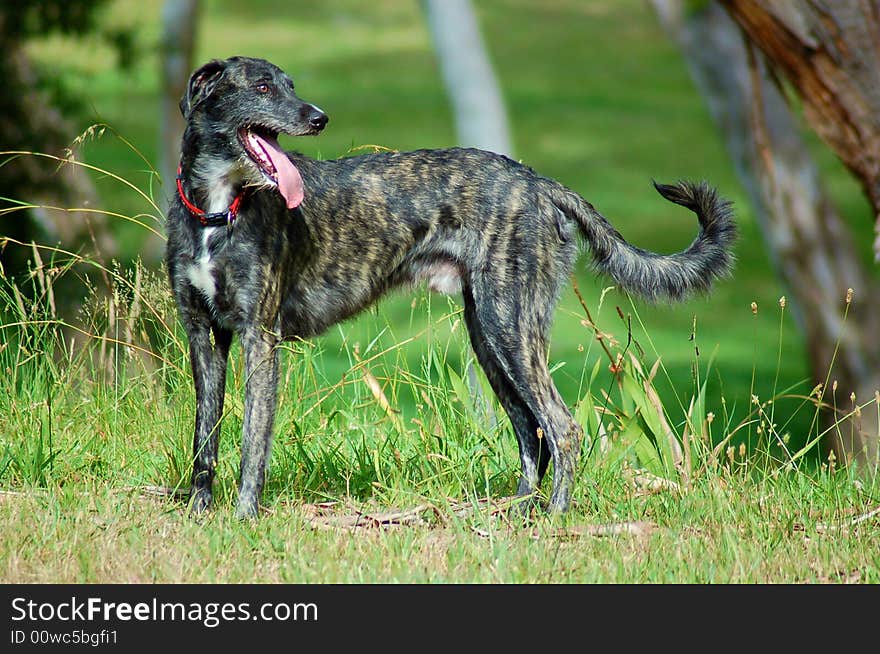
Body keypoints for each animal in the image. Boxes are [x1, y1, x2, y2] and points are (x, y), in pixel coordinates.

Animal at [165, 56, 736, 520]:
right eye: (263, 87)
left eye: (290, 85)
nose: (319, 117)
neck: (220, 210)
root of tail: (538, 182)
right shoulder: (204, 337)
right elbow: (203, 437)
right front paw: (198, 514)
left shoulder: (261, 340)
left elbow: (251, 440)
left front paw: (244, 518)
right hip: (489, 336)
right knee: (532, 433)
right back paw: (515, 512)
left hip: (511, 329)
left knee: (562, 427)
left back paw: (554, 516)